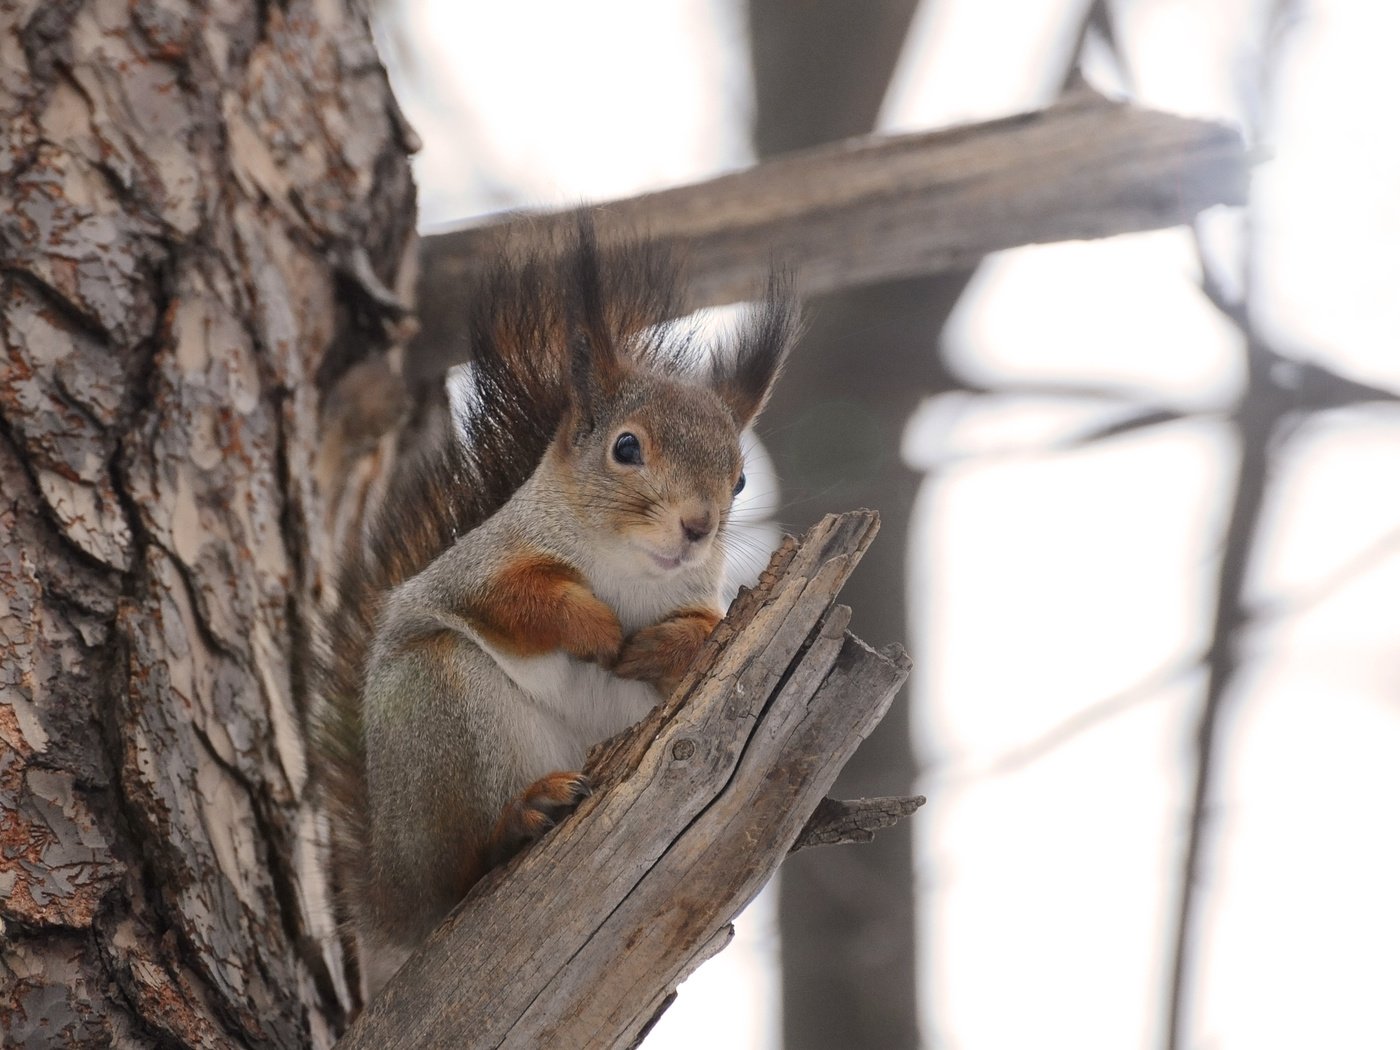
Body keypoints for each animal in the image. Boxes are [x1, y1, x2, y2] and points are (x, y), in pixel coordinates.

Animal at [316, 222, 800, 996]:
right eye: (626, 447)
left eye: (741, 478)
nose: (697, 527)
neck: (628, 570)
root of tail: (392, 906)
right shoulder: (475, 570)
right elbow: (515, 600)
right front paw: (596, 629)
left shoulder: (702, 604)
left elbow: (707, 640)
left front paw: (663, 647)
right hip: (438, 708)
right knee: (456, 871)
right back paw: (520, 818)